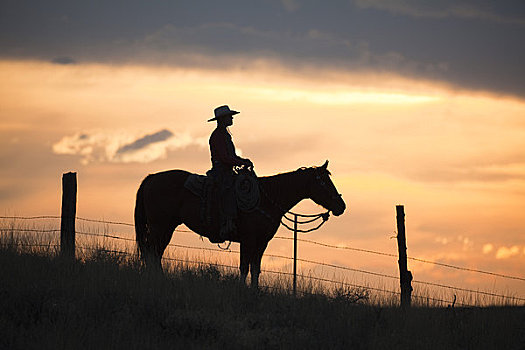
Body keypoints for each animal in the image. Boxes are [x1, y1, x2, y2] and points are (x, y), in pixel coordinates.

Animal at [135, 161, 346, 288]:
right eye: (324, 182)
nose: (341, 206)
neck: (266, 199)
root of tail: (152, 177)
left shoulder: (261, 242)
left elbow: (255, 268)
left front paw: (255, 292)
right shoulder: (248, 240)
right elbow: (244, 267)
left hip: (166, 227)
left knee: (155, 253)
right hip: (159, 226)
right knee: (152, 252)